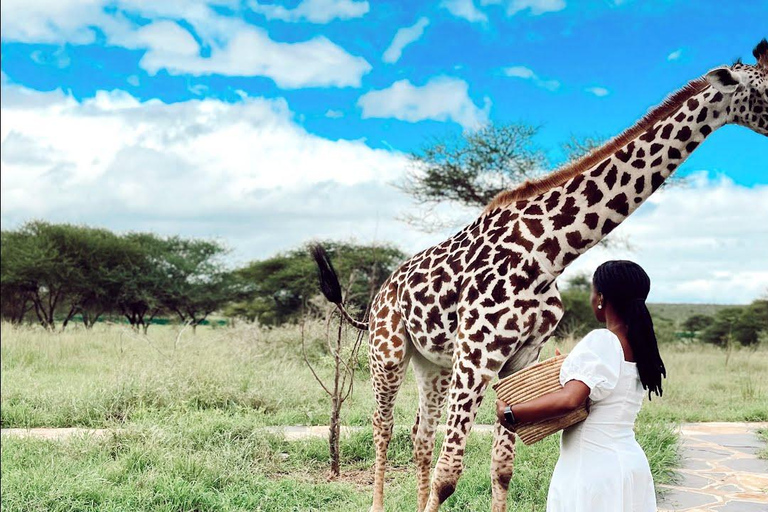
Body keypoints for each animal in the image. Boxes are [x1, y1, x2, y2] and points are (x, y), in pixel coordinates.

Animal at [312, 38, 768, 510]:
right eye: (766, 88)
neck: (549, 252)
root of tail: (381, 294)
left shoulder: (520, 357)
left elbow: (501, 467)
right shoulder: (476, 355)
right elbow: (449, 474)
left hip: (432, 363)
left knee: (420, 434)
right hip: (388, 352)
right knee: (383, 429)